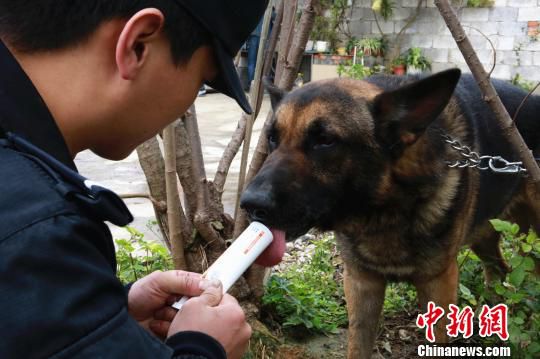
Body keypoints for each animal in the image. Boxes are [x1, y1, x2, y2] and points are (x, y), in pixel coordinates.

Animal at [242, 69, 540, 358]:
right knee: (499, 269)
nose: (249, 204)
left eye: (325, 141)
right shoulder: (361, 283)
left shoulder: (439, 283)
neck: (385, 209)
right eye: (272, 138)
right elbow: (358, 348)